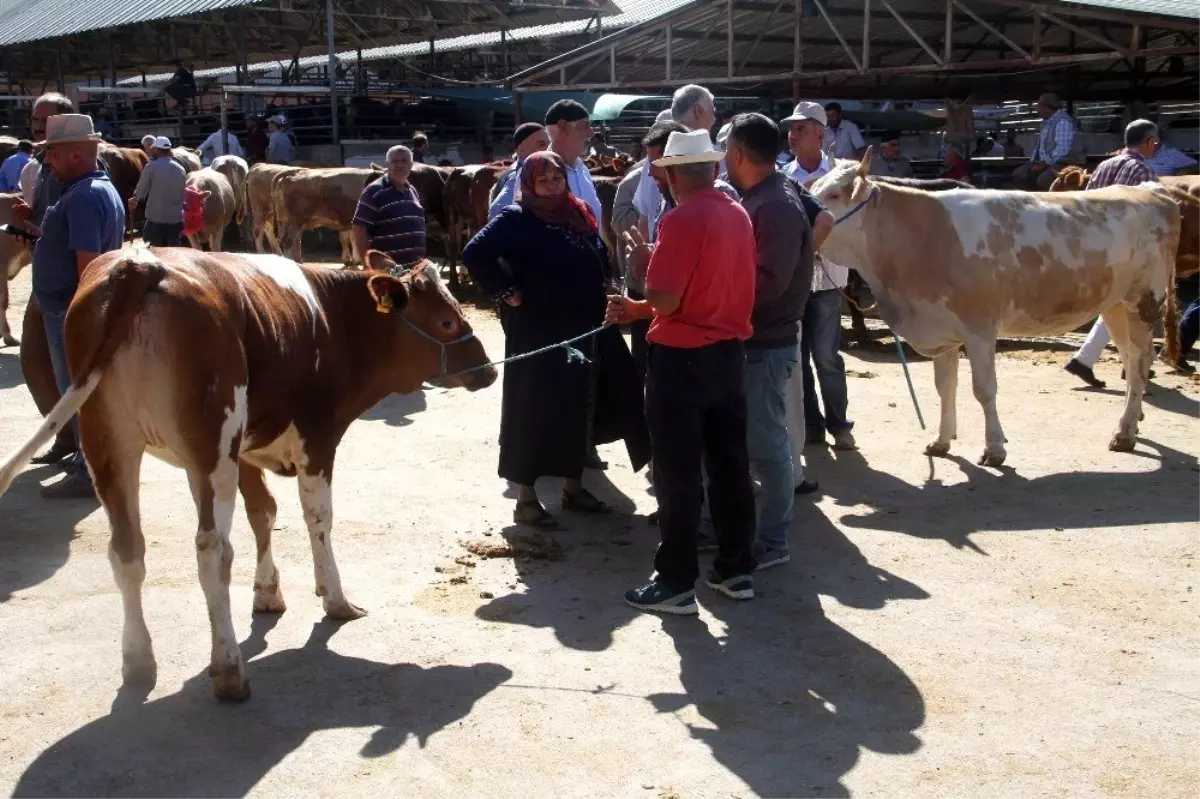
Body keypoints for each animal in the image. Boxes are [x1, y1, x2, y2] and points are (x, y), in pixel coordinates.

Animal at [0, 245, 496, 700]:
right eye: (447, 322)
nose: (490, 370)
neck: (334, 320)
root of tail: (139, 262)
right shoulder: (316, 437)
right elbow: (318, 518)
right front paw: (334, 598)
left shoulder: (244, 451)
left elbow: (263, 513)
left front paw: (267, 593)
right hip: (207, 444)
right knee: (211, 550)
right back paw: (229, 670)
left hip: (112, 443)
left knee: (127, 550)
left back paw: (138, 661)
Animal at [811, 147, 1176, 467]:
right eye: (812, 187)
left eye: (833, 195)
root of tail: (1153, 191)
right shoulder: (940, 326)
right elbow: (945, 387)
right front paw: (941, 441)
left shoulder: (979, 327)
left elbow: (983, 390)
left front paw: (994, 448)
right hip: (1114, 304)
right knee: (1130, 358)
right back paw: (1132, 423)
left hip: (1143, 302)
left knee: (1140, 364)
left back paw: (1125, 433)